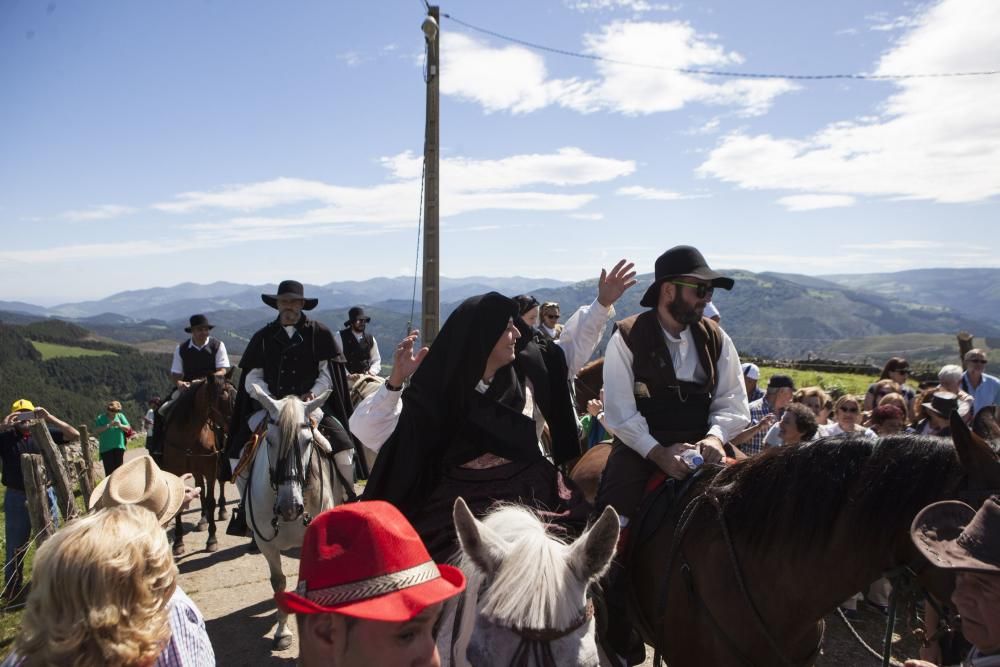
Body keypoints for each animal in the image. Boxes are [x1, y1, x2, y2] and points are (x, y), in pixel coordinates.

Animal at [163, 376, 235, 560]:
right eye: (220, 399)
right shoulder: (177, 471)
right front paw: (178, 543)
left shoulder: (210, 469)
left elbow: (211, 501)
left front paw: (212, 539)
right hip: (195, 470)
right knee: (200, 488)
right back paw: (203, 519)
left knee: (219, 485)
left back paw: (222, 510)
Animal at [240, 388, 342, 648]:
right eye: (269, 440)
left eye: (308, 441)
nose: (290, 507)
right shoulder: (266, 544)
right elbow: (278, 582)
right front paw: (282, 631)